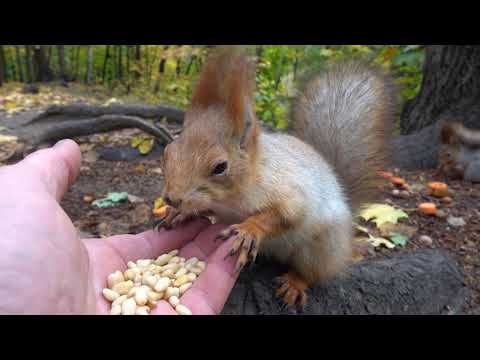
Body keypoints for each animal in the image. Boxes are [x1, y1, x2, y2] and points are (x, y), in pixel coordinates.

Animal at [157, 47, 398, 310]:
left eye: (220, 167)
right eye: (168, 152)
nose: (172, 199)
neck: (229, 200)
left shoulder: (287, 188)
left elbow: (287, 214)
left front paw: (249, 229)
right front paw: (179, 214)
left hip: (321, 247)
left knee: (313, 272)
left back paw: (294, 283)